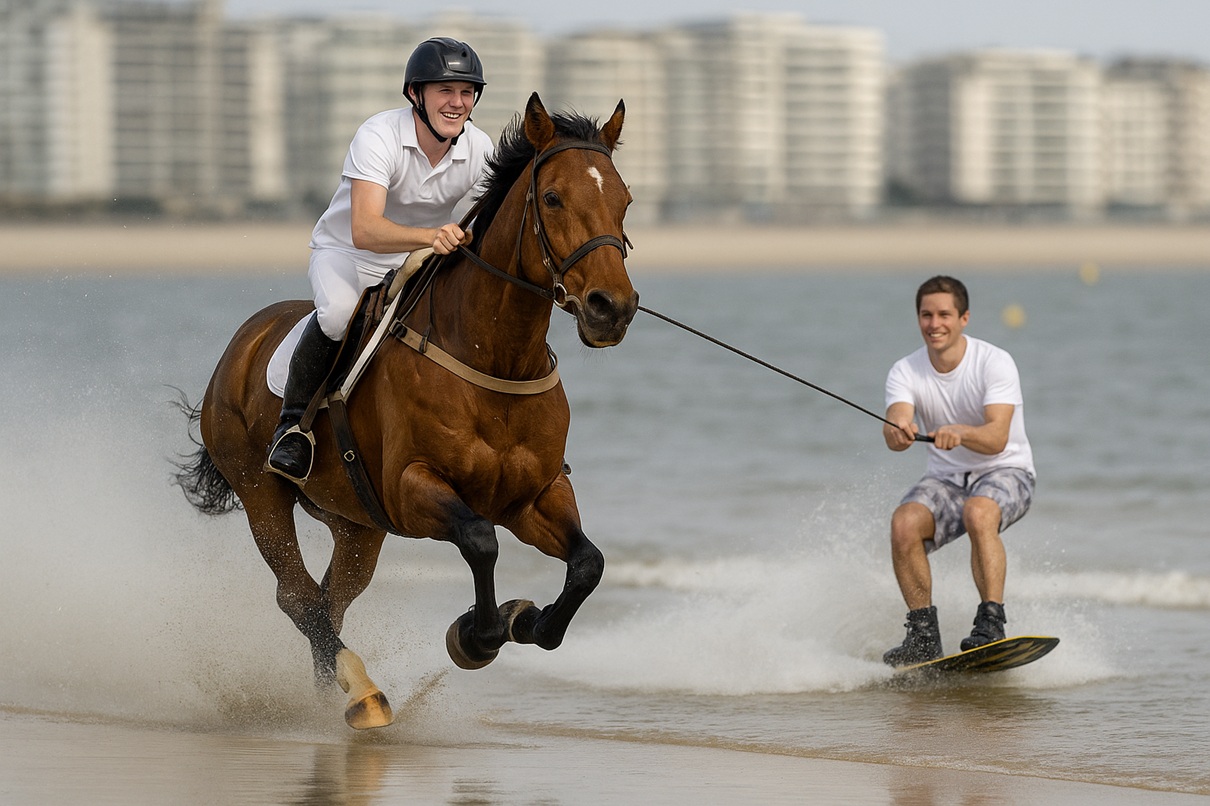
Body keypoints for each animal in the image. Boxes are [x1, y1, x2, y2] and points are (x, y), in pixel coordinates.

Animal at [174, 93, 638, 730]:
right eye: (552, 198)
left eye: (624, 200)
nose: (611, 309)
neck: (495, 356)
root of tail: (243, 342)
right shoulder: (412, 487)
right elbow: (481, 539)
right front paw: (478, 636)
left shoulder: (535, 494)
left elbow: (588, 563)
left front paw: (525, 619)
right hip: (262, 492)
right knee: (296, 594)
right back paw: (362, 693)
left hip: (357, 522)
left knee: (331, 598)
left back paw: (334, 690)